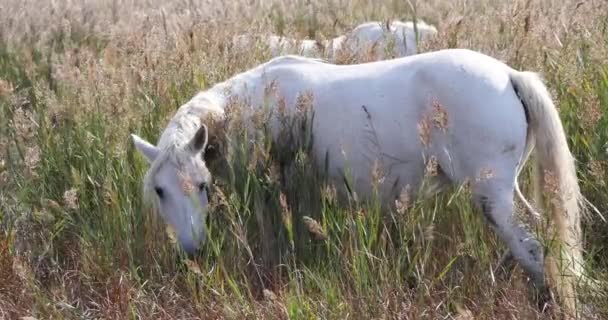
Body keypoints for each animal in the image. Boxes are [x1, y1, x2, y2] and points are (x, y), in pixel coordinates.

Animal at [133, 48, 592, 316]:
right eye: (160, 191)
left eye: (202, 185)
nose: (192, 249)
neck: (258, 106)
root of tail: (510, 75)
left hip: (492, 196)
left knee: (532, 247)